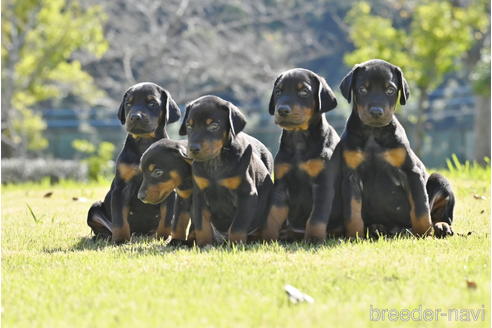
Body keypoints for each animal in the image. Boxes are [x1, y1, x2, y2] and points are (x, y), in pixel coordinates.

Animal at [87, 82, 182, 243]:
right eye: (128, 104)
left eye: (152, 103)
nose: (135, 117)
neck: (144, 143)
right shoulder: (120, 188)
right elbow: (119, 220)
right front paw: (120, 240)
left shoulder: (169, 188)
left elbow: (166, 218)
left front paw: (163, 237)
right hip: (95, 208)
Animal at [179, 95, 274, 246]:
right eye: (189, 125)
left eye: (213, 126)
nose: (193, 149)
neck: (215, 161)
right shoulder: (199, 195)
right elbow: (202, 226)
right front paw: (204, 245)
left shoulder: (247, 194)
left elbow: (237, 226)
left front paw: (236, 245)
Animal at [262, 68, 342, 242]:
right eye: (278, 91)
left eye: (304, 91)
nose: (282, 110)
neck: (299, 138)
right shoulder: (281, 185)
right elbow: (272, 216)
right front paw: (266, 238)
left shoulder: (323, 184)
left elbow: (316, 217)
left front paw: (313, 238)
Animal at [328, 59, 456, 237]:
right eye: (362, 89)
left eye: (390, 90)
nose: (376, 112)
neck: (373, 132)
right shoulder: (351, 176)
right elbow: (353, 212)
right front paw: (354, 236)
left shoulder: (412, 172)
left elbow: (421, 210)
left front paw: (424, 234)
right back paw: (377, 228)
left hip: (439, 180)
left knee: (441, 213)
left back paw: (440, 226)